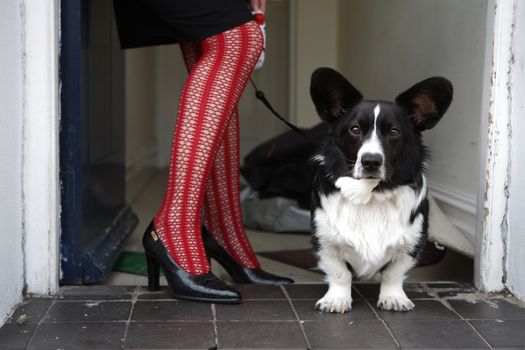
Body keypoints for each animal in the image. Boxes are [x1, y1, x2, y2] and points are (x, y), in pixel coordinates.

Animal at [310, 67, 452, 314]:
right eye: (355, 129)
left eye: (393, 132)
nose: (371, 161)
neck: (372, 194)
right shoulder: (326, 243)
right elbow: (340, 273)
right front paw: (336, 299)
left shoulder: (410, 245)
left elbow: (393, 274)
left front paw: (393, 298)